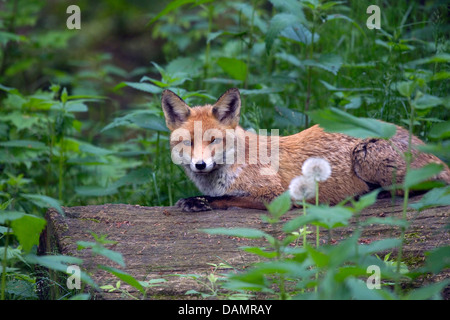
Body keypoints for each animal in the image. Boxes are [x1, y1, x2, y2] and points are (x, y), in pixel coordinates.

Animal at [162, 89, 450, 211]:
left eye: (213, 140)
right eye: (188, 143)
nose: (200, 165)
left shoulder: (275, 194)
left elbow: (226, 199)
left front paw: (198, 201)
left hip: (366, 156)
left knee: (424, 186)